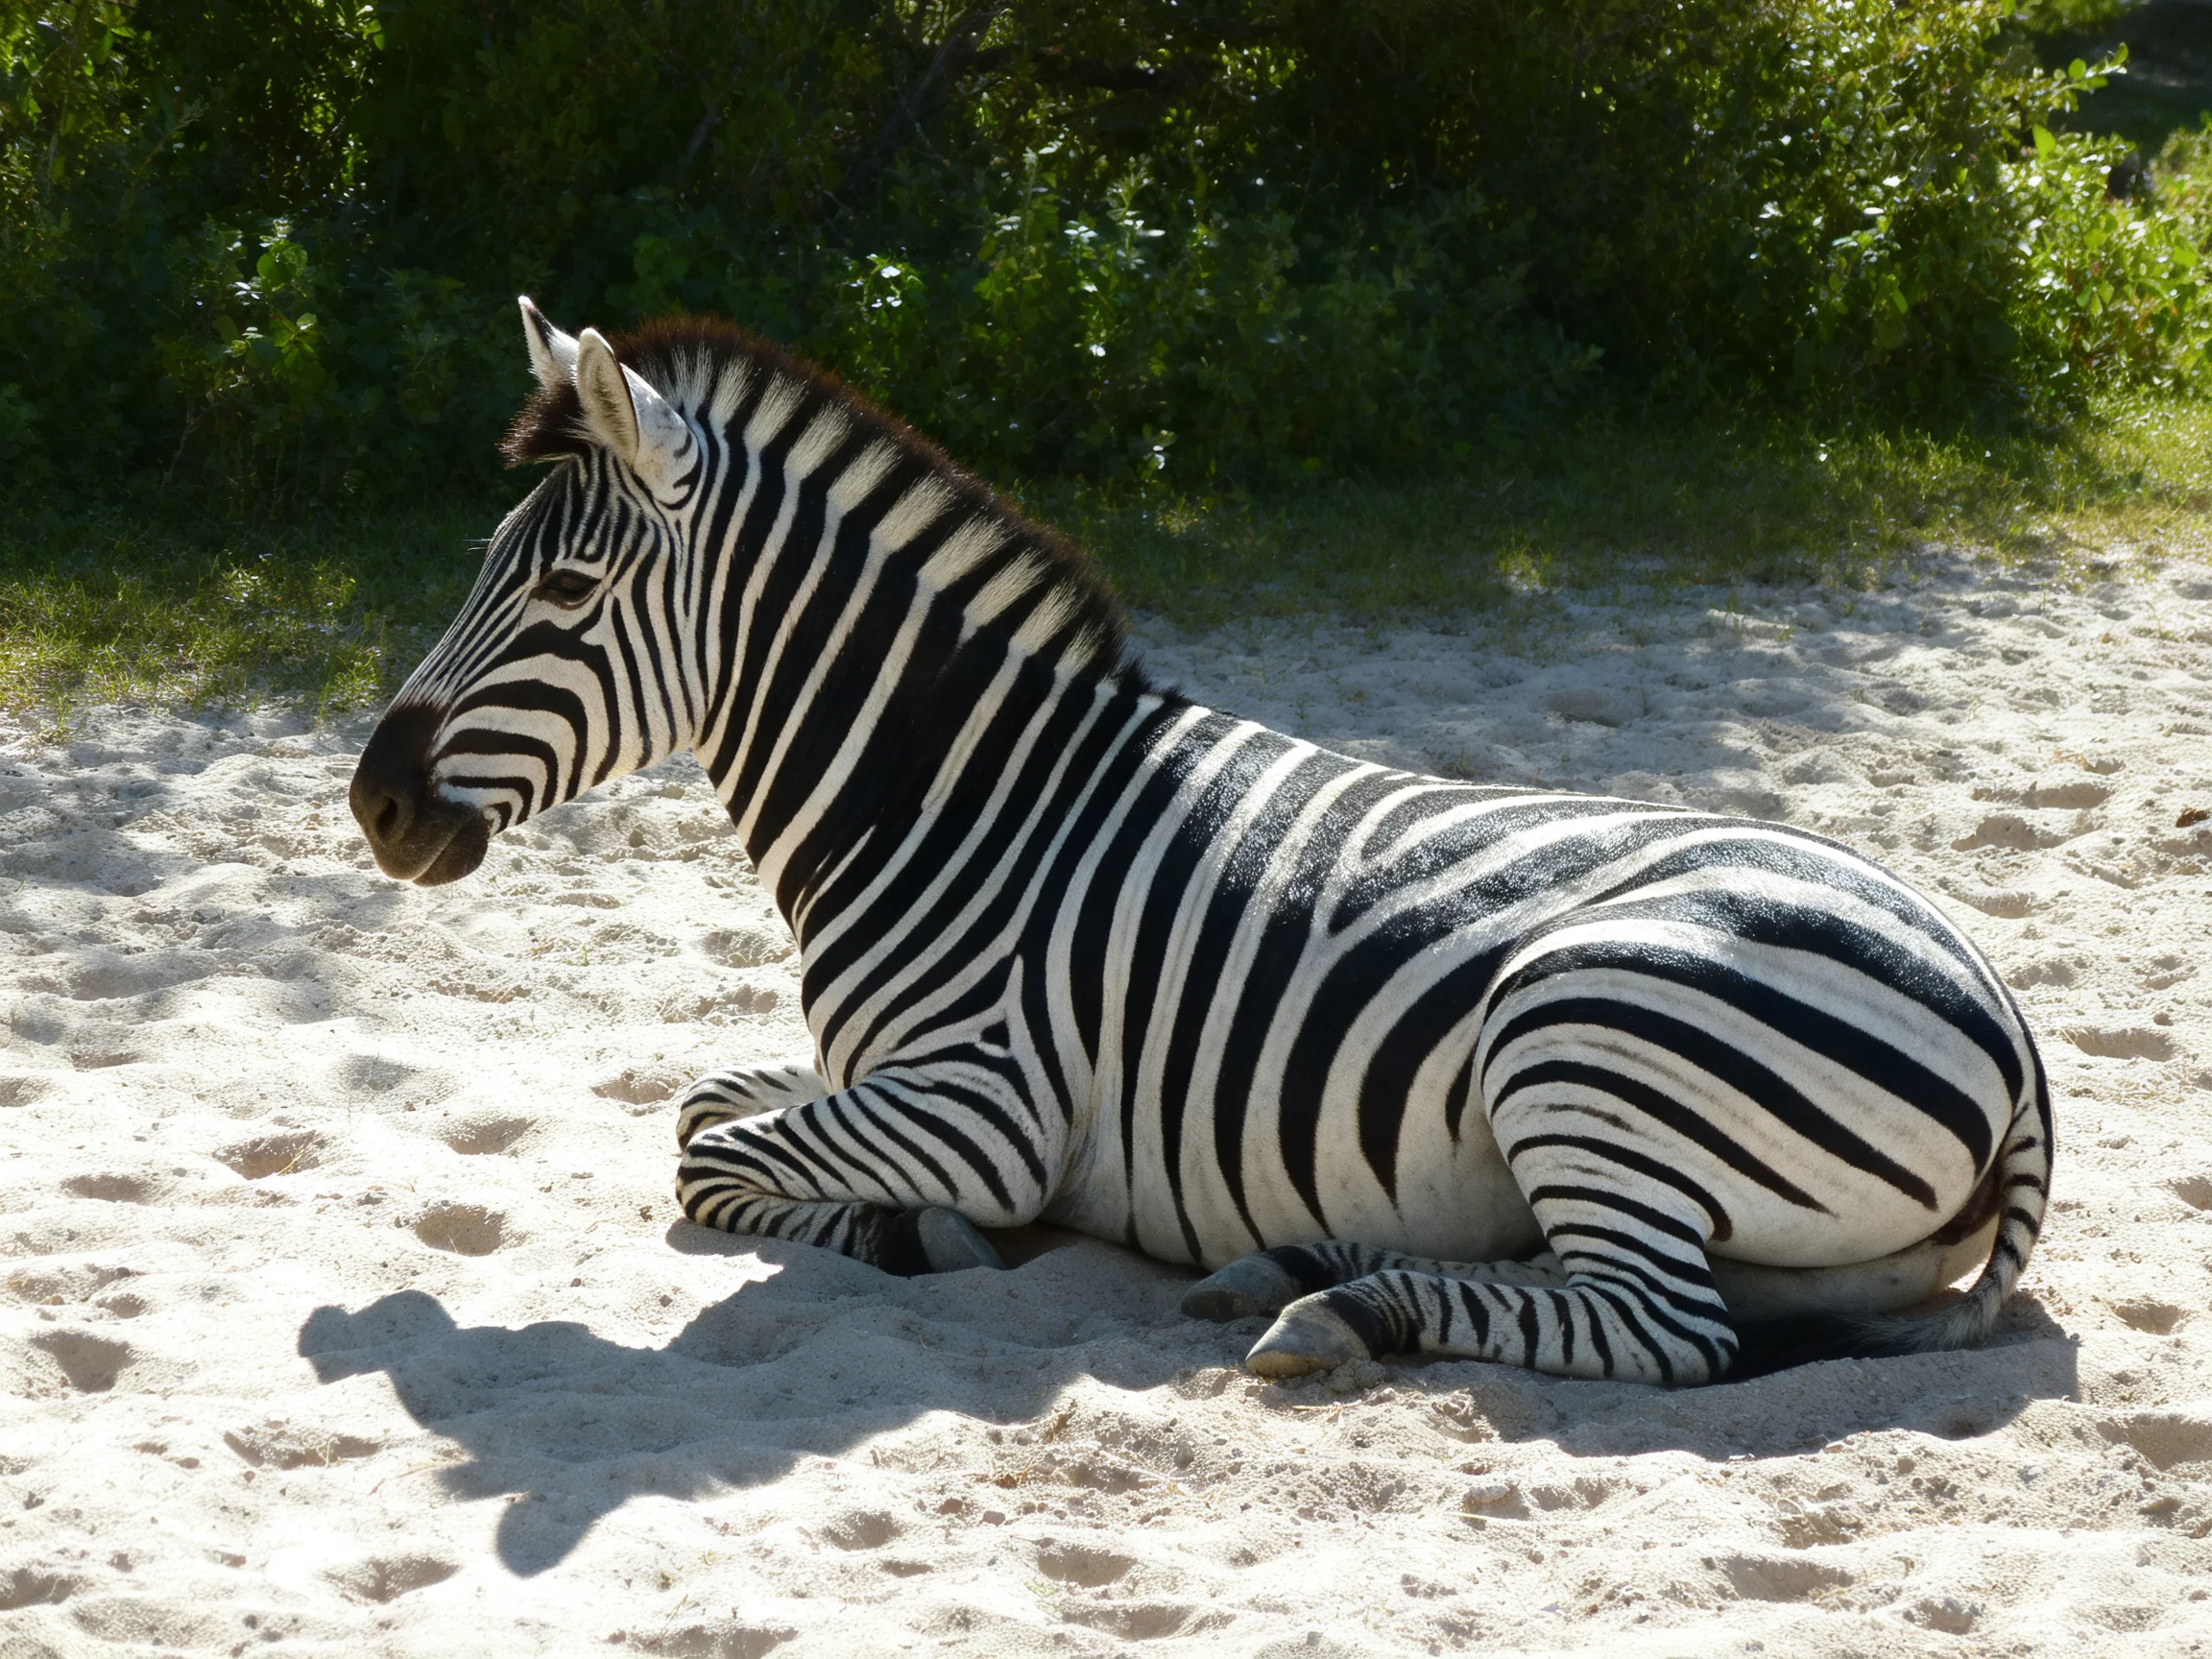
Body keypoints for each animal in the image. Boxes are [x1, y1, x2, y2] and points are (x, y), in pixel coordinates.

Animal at [348, 302, 2051, 1386]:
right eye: (489, 565)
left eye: (563, 596)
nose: (373, 801)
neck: (958, 797)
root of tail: (2016, 1026)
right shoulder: (865, 1065)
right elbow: (704, 1099)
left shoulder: (987, 1103)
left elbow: (710, 1158)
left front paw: (918, 1235)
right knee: (1628, 1285)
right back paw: (1289, 1269)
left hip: (1584, 1032)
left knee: (1666, 1328)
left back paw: (1339, 1319)